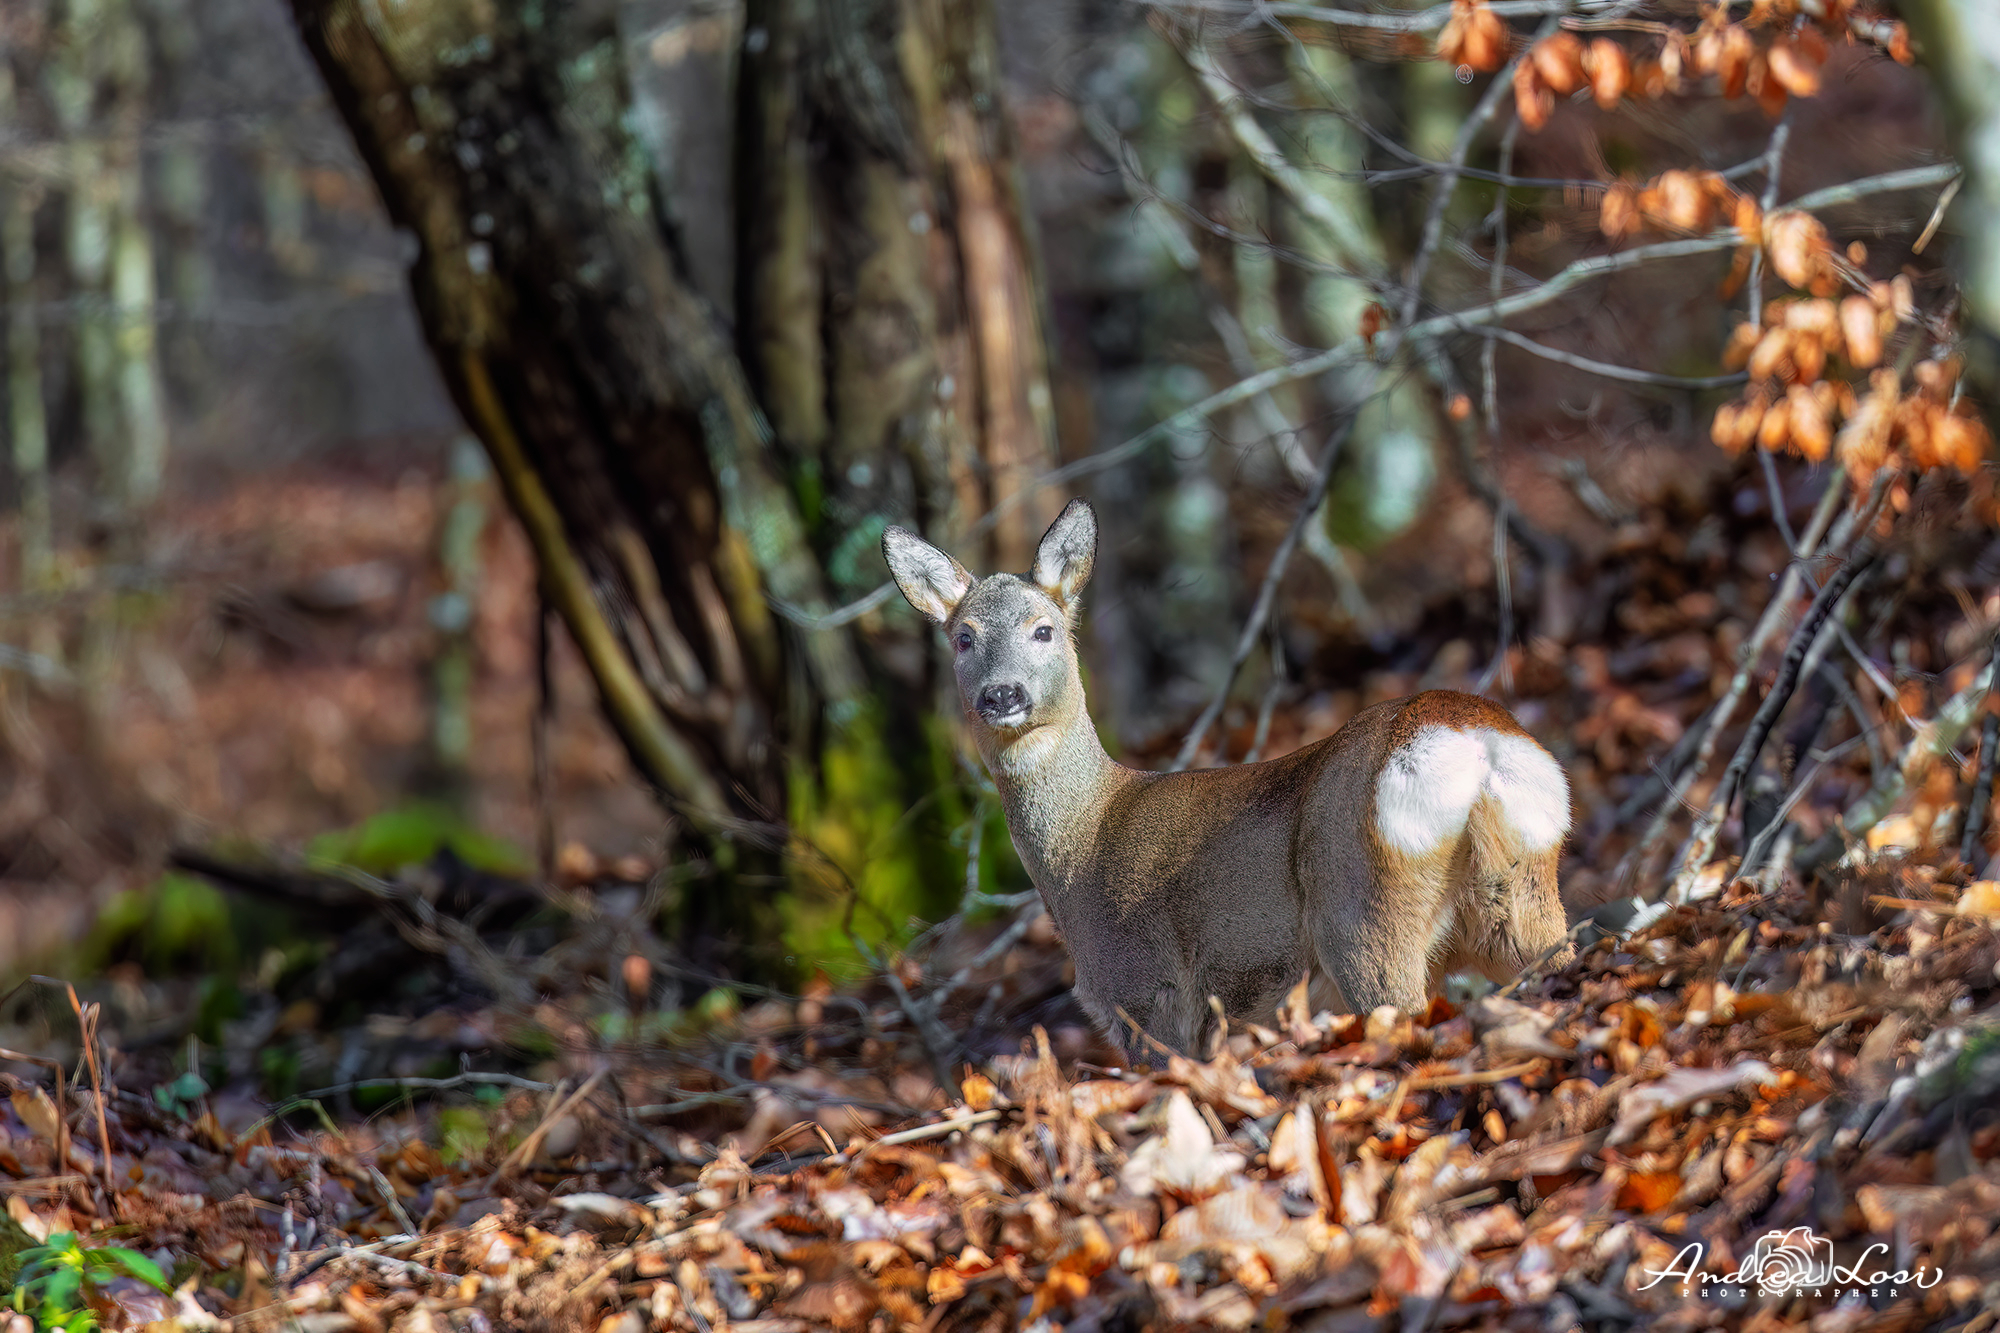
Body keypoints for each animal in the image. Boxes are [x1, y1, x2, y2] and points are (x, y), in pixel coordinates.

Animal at [882, 498, 1576, 1060]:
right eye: (963, 637)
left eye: (1043, 629)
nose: (1001, 695)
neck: (1084, 845)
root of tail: (1472, 738)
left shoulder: (1146, 987)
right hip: (1519, 887)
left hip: (1360, 904)